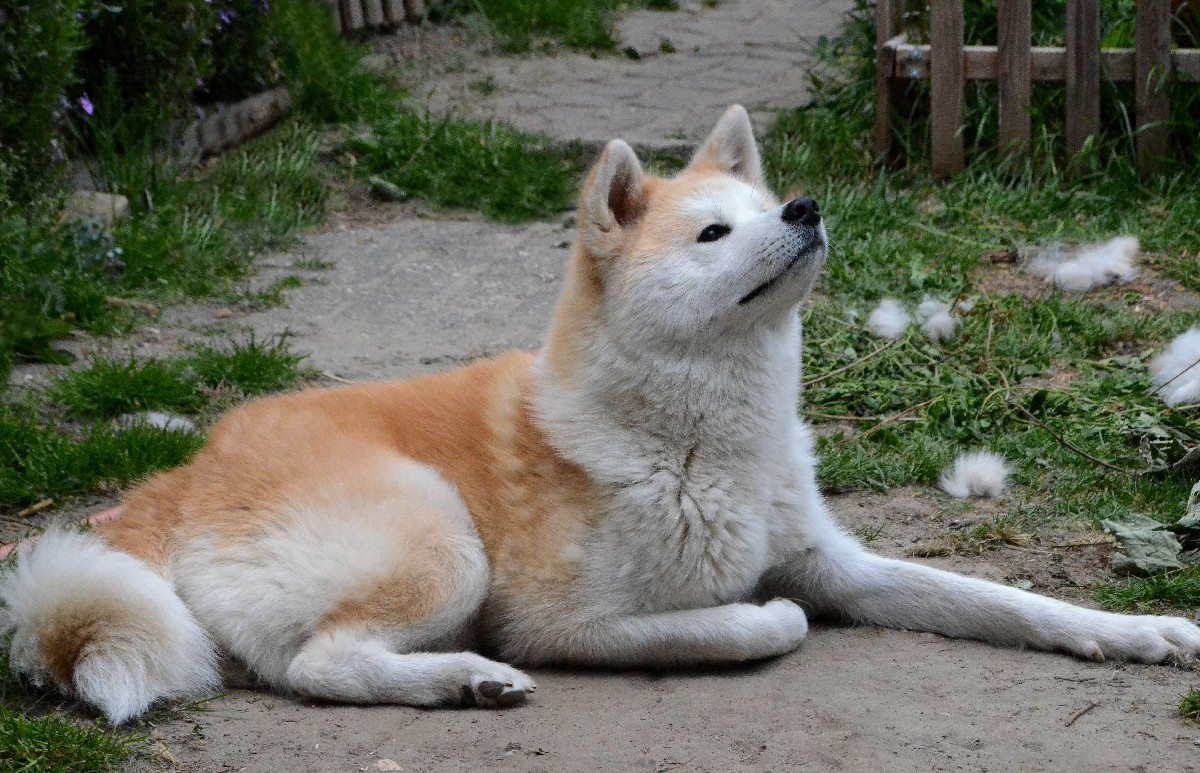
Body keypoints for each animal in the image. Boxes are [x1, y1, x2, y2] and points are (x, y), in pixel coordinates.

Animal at [3, 106, 1198, 725]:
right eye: (715, 233)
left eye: (764, 208)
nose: (806, 207)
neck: (706, 436)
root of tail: (177, 479)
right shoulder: (560, 620)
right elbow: (755, 620)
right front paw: (761, 620)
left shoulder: (841, 563)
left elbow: (1002, 599)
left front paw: (1137, 630)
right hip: (445, 545)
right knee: (319, 667)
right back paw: (466, 677)